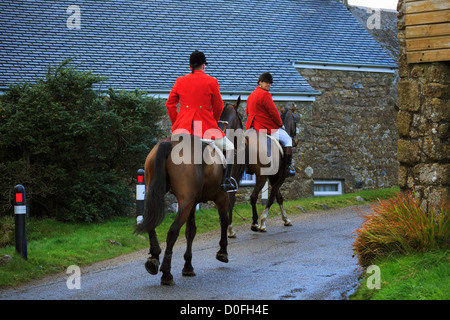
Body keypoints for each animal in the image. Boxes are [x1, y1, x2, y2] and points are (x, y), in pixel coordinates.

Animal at [134, 99, 243, 286]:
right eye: (242, 117)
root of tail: (169, 143)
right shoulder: (222, 197)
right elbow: (223, 221)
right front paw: (222, 252)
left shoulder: (193, 202)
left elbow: (191, 231)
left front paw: (188, 266)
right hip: (185, 202)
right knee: (172, 231)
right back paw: (166, 273)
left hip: (158, 194)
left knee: (151, 223)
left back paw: (153, 258)